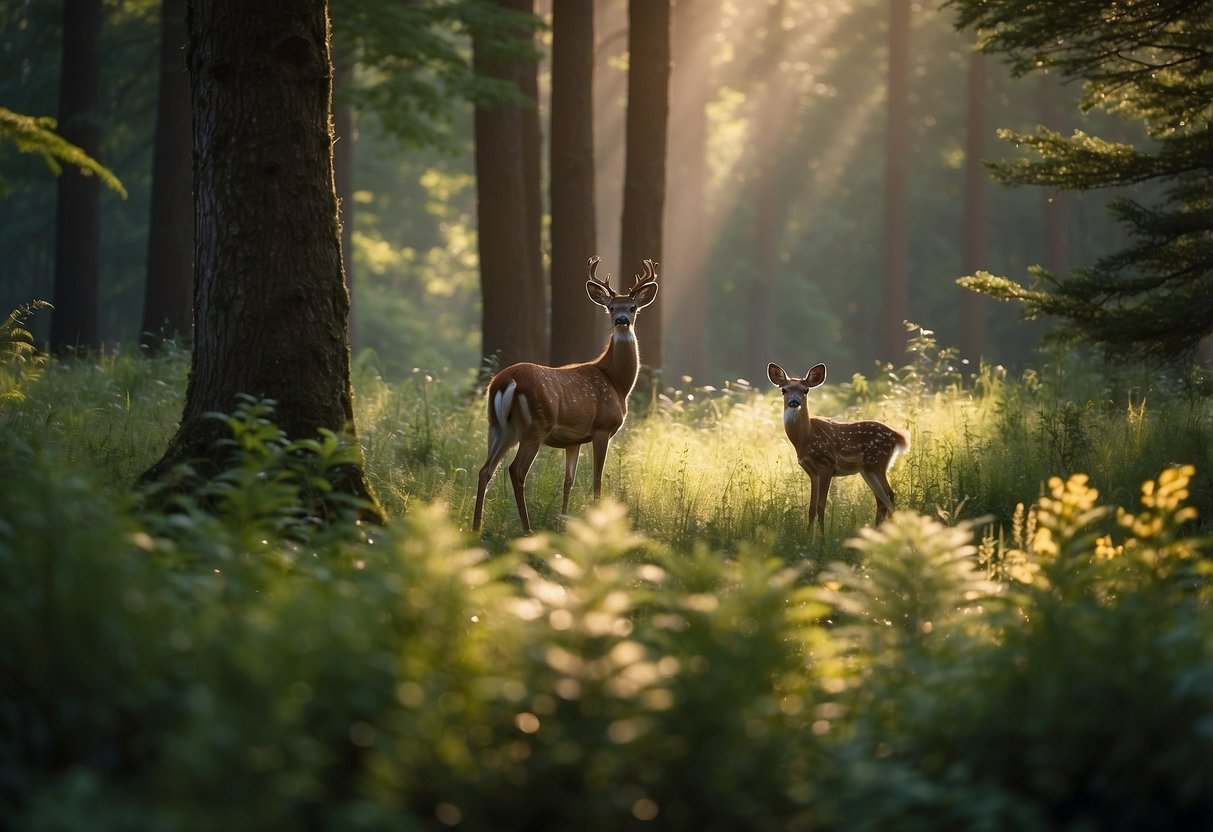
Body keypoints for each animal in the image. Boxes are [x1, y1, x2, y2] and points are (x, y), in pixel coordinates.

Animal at [473, 257, 664, 538]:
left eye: (632, 308)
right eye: (610, 308)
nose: (621, 320)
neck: (617, 383)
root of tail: (505, 381)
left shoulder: (573, 440)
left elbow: (568, 481)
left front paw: (563, 523)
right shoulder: (602, 428)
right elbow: (596, 479)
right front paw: (597, 522)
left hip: (498, 426)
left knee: (485, 469)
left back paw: (475, 527)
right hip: (535, 425)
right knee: (516, 470)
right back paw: (527, 529)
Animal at [771, 363, 907, 533]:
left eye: (805, 390)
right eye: (784, 390)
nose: (794, 402)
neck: (805, 438)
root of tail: (896, 435)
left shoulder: (827, 464)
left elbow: (821, 506)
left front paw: (822, 538)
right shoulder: (811, 471)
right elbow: (811, 508)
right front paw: (808, 537)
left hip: (878, 463)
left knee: (889, 495)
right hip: (867, 470)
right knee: (881, 500)